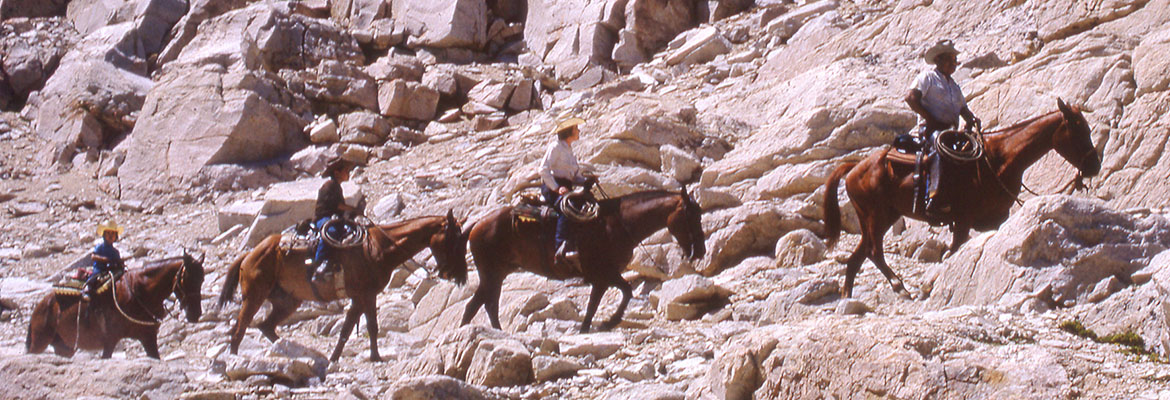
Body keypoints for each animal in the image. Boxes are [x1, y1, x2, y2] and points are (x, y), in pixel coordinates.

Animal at [26, 251, 205, 357]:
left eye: (202, 279)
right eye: (187, 279)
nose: (195, 314)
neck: (139, 293)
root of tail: (40, 306)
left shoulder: (148, 338)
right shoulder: (110, 340)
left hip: (63, 346)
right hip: (39, 342)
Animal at [217, 212, 463, 362]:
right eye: (452, 238)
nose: (455, 274)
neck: (379, 248)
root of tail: (249, 255)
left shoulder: (361, 298)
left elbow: (349, 329)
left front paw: (337, 358)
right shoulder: (366, 295)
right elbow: (370, 326)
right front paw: (375, 358)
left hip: (287, 301)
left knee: (266, 327)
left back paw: (294, 352)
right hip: (254, 297)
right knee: (240, 329)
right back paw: (234, 358)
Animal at [463, 189, 702, 332]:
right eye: (690, 216)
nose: (700, 251)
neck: (618, 225)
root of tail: (477, 223)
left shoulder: (606, 276)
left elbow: (619, 295)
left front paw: (605, 323)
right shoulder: (602, 276)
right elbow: (609, 298)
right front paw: (605, 323)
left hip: (497, 274)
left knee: (480, 304)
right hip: (491, 274)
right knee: (484, 305)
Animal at [819, 98, 1099, 298]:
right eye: (1078, 130)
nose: (1095, 166)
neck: (999, 160)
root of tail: (854, 167)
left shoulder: (996, 219)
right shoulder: (963, 220)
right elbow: (953, 252)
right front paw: (932, 284)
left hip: (881, 216)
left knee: (858, 256)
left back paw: (847, 299)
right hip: (875, 216)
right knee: (873, 251)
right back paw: (900, 288)